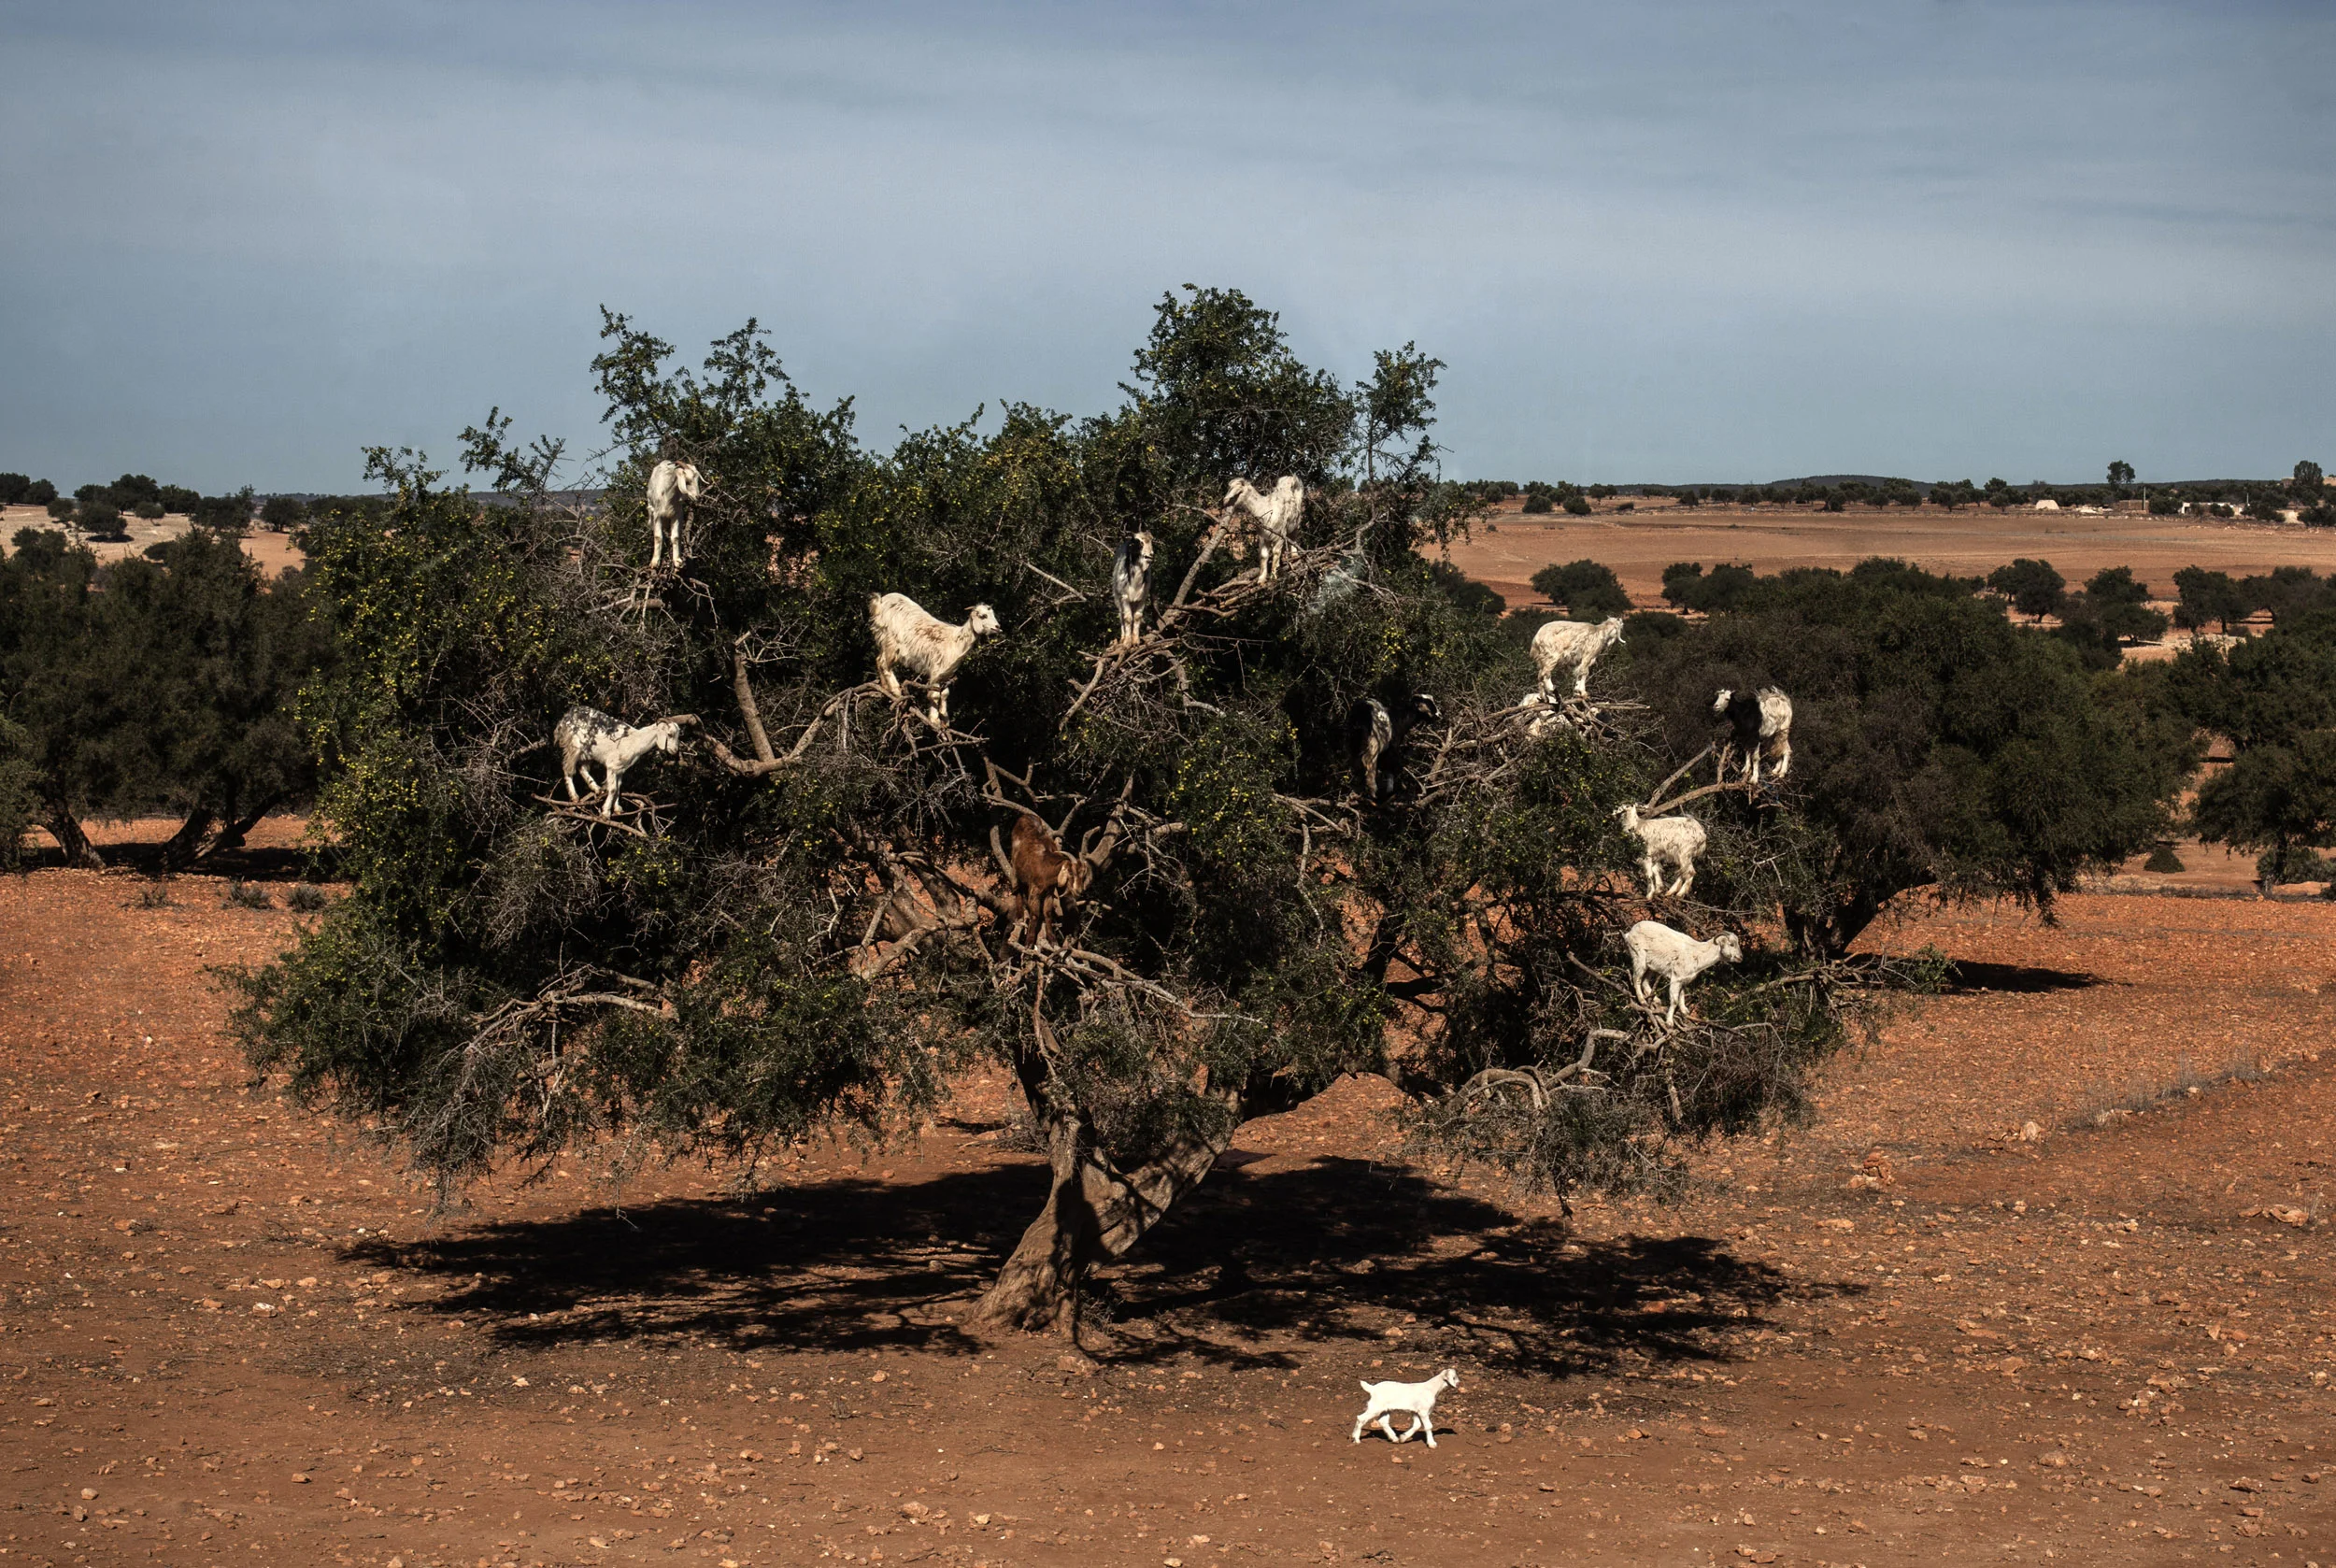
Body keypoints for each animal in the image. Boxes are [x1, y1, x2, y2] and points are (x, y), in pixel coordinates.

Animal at [553, 706, 690, 816]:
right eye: (670, 734)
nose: (675, 750)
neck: (635, 741)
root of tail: (567, 716)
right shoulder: (612, 766)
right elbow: (613, 789)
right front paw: (606, 813)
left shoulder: (620, 769)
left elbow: (619, 788)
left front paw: (617, 808)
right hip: (574, 746)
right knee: (568, 768)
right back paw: (574, 797)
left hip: (588, 753)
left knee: (582, 768)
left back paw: (596, 788)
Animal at [869, 593, 1001, 727]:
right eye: (983, 616)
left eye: (993, 614)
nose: (998, 627)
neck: (955, 641)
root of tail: (881, 601)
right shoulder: (936, 670)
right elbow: (935, 695)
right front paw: (934, 720)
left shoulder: (946, 674)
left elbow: (944, 694)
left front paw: (945, 720)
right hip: (891, 643)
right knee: (885, 664)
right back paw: (896, 690)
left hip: (884, 641)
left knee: (879, 660)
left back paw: (885, 687)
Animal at [1006, 814, 1093, 946]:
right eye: (1071, 872)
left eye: (1083, 875)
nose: (1079, 891)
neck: (1046, 868)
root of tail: (1024, 816)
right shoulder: (1035, 890)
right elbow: (1035, 914)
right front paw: (1029, 942)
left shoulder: (1049, 892)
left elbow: (1047, 913)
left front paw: (1052, 940)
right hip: (1015, 868)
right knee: (1017, 890)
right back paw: (1020, 916)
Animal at [1623, 920, 1743, 1025]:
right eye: (1731, 944)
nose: (1740, 957)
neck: (1698, 954)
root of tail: (1630, 933)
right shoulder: (1676, 979)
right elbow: (1674, 1001)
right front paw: (1669, 1023)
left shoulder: (1683, 980)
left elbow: (1682, 994)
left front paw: (1685, 1011)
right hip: (1639, 959)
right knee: (1637, 979)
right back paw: (1643, 1001)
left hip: (1651, 966)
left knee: (1645, 981)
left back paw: (1656, 1000)